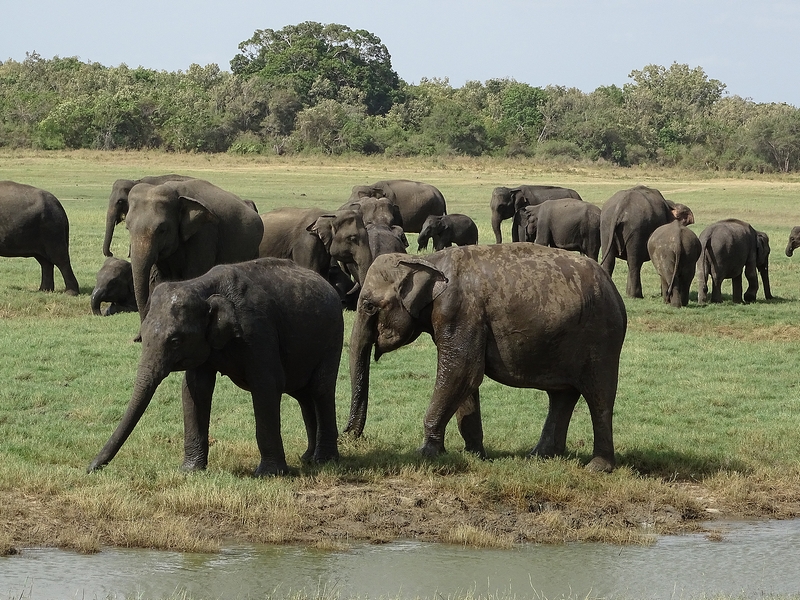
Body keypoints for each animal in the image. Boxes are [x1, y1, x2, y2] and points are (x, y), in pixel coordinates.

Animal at [87, 258, 343, 476]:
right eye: (144, 335)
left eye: (175, 340)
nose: (90, 468)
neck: (202, 286)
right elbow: (194, 389)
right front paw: (189, 471)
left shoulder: (258, 331)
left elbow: (267, 385)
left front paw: (268, 474)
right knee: (303, 394)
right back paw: (307, 458)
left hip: (332, 338)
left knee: (320, 389)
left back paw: (324, 460)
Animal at [346, 244, 627, 472]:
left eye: (369, 305)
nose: (350, 435)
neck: (426, 260)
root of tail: (614, 291)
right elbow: (465, 381)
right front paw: (474, 455)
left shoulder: (458, 310)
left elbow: (463, 371)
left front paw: (425, 454)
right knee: (562, 395)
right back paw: (539, 457)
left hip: (601, 338)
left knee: (599, 396)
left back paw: (597, 467)